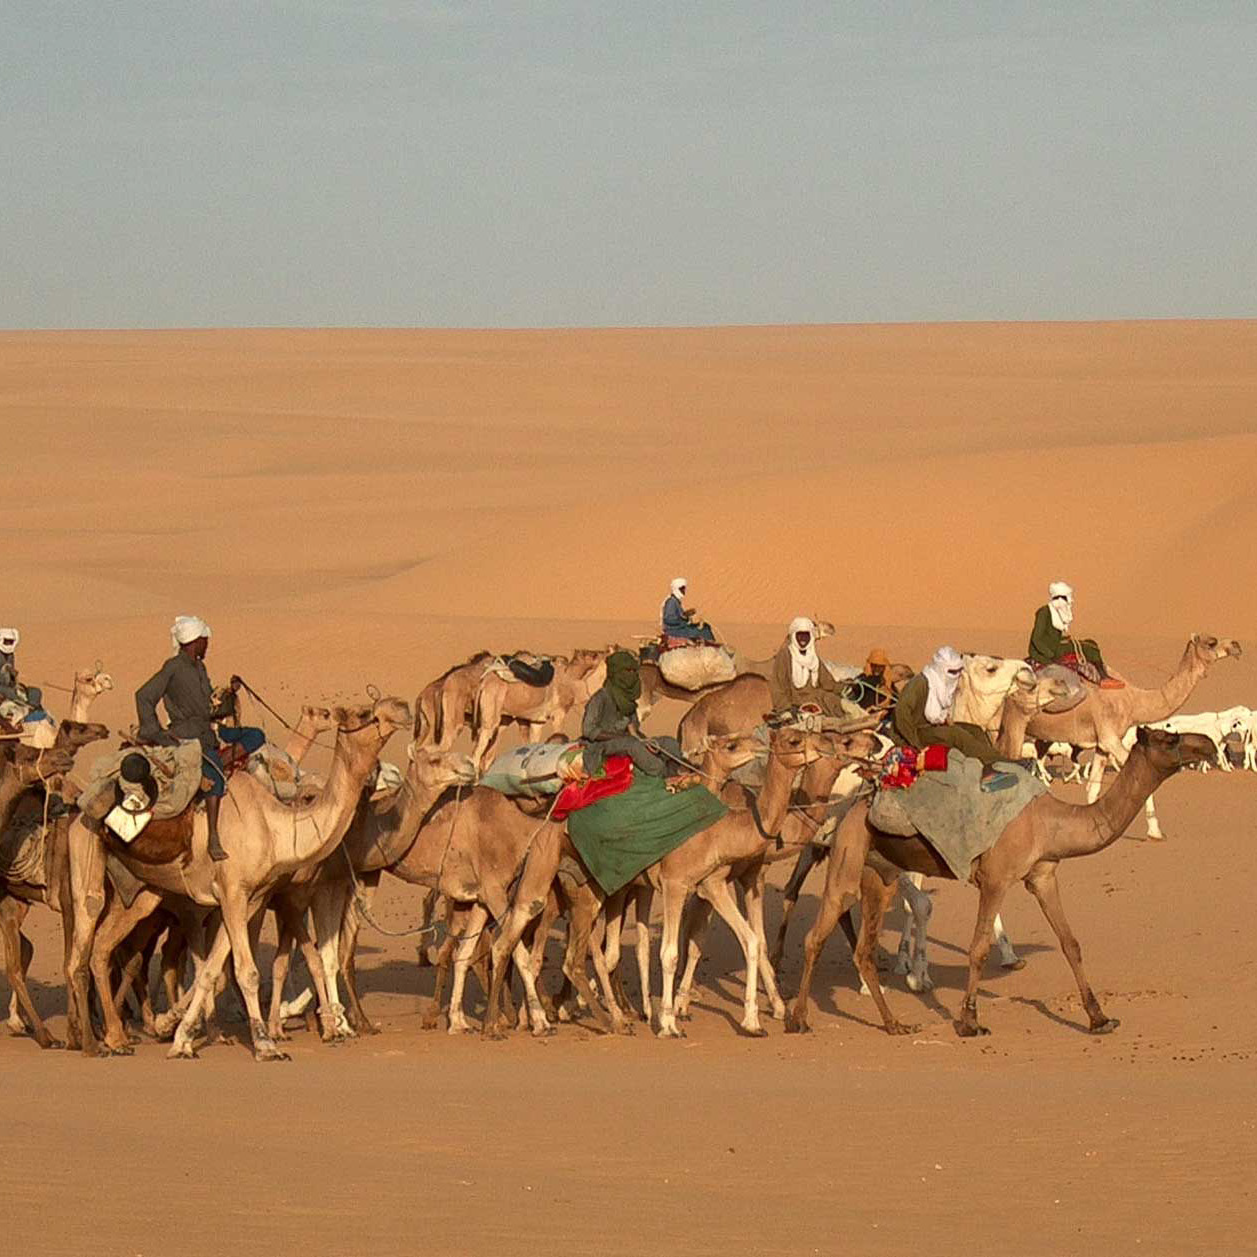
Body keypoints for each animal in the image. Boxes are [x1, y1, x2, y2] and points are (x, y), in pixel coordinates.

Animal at [65, 698, 407, 1060]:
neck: (274, 827)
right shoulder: (232, 893)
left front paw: (181, 1038)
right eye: (364, 713)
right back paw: (90, 1042)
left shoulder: (250, 898)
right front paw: (265, 1043)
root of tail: (79, 808)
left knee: (102, 948)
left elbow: (211, 970)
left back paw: (116, 1038)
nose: (402, 707)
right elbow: (246, 971)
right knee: (82, 943)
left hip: (141, 891)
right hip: (87, 848)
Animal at [784, 729, 1216, 1040]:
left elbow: (1070, 943)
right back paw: (798, 1019)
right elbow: (978, 948)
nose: (1208, 745)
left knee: (864, 950)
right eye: (1170, 738)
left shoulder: (1043, 875)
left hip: (880, 873)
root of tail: (855, 801)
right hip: (848, 854)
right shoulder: (996, 877)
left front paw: (1100, 1018)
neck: (1051, 823)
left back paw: (894, 1025)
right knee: (816, 936)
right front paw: (969, 1022)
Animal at [1025, 633, 1241, 839]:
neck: (1133, 700)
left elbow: (1093, 789)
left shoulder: (1103, 745)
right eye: (1212, 642)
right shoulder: (1110, 738)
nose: (1236, 645)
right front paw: (1155, 832)